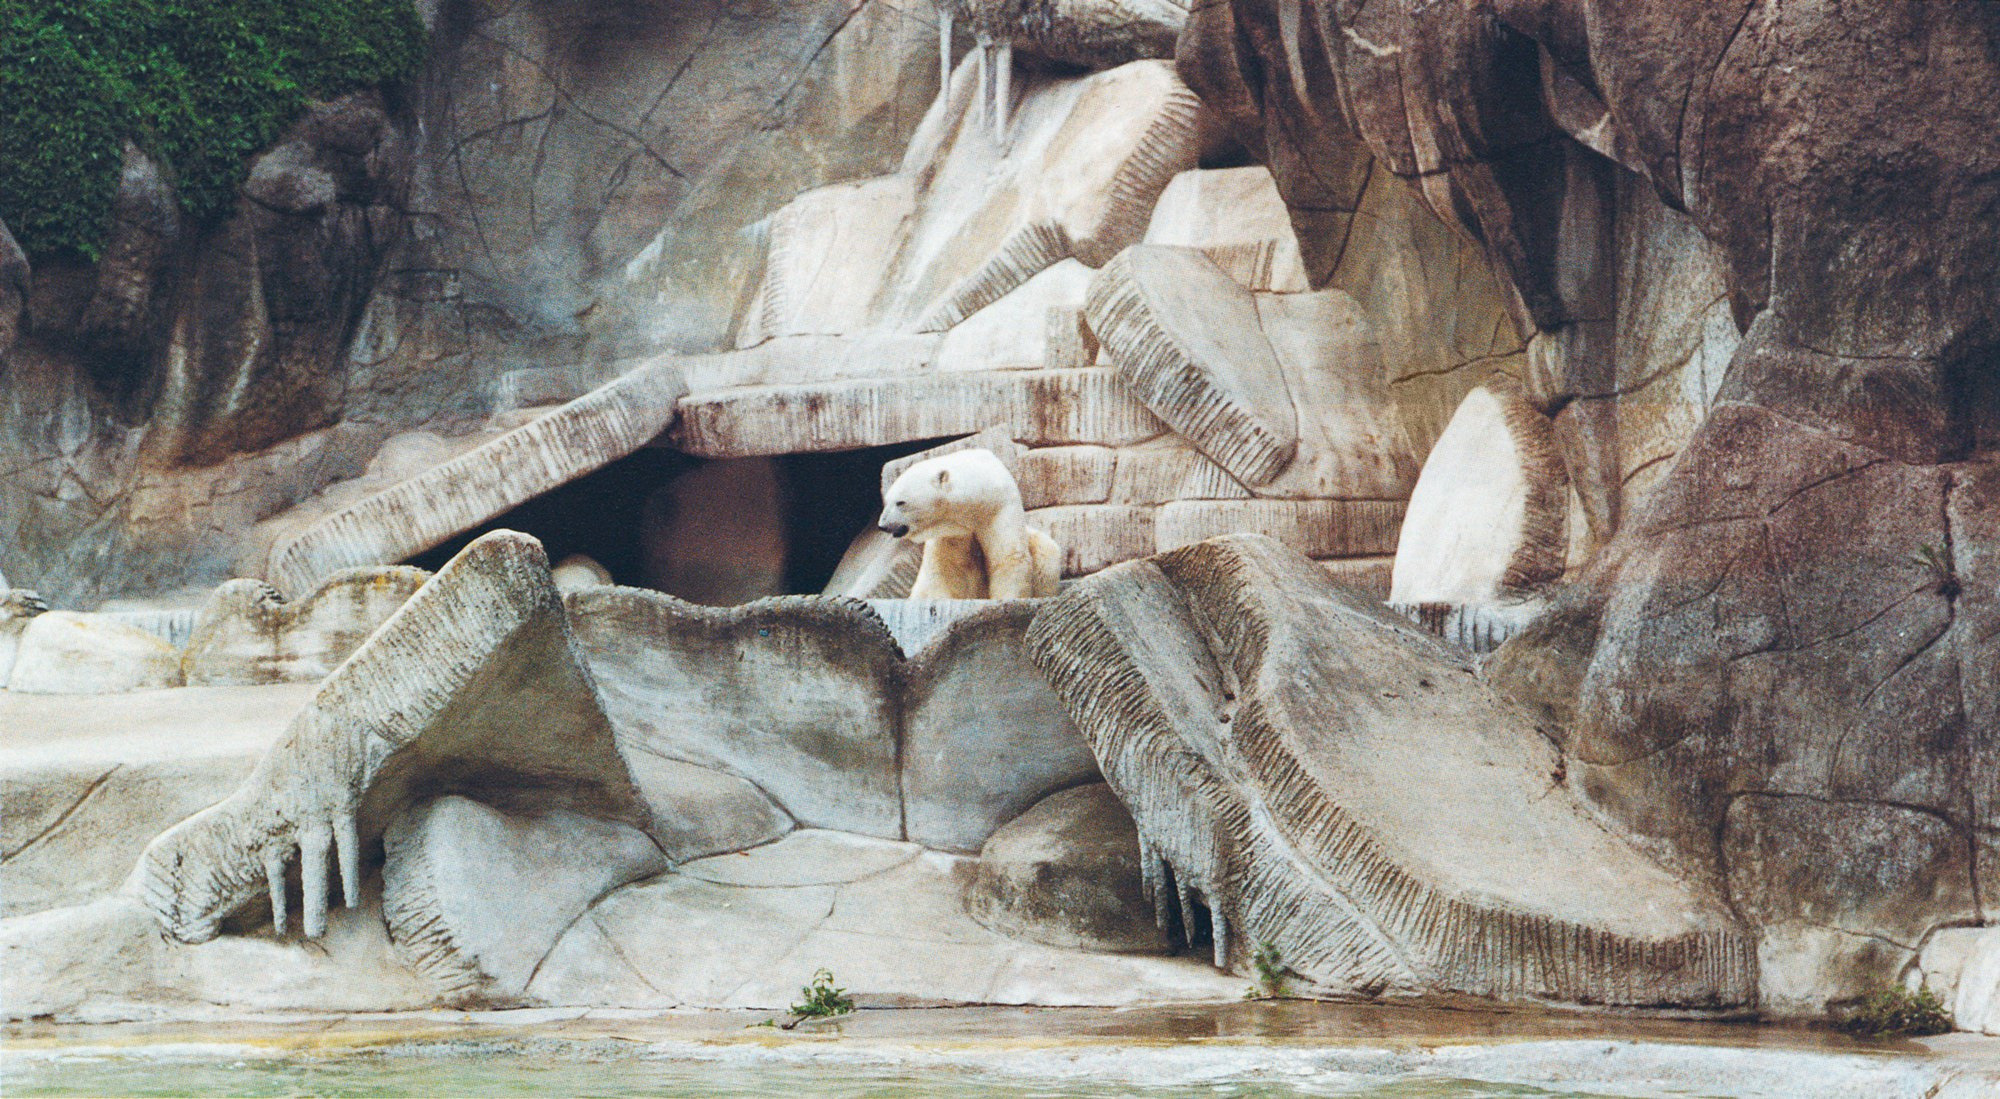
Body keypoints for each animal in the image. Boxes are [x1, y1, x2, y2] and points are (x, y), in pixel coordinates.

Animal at [876, 447, 1064, 603]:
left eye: (901, 502)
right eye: (886, 501)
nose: (882, 525)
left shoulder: (999, 509)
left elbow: (1008, 557)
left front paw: (1006, 598)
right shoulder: (952, 533)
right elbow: (946, 569)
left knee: (1046, 552)